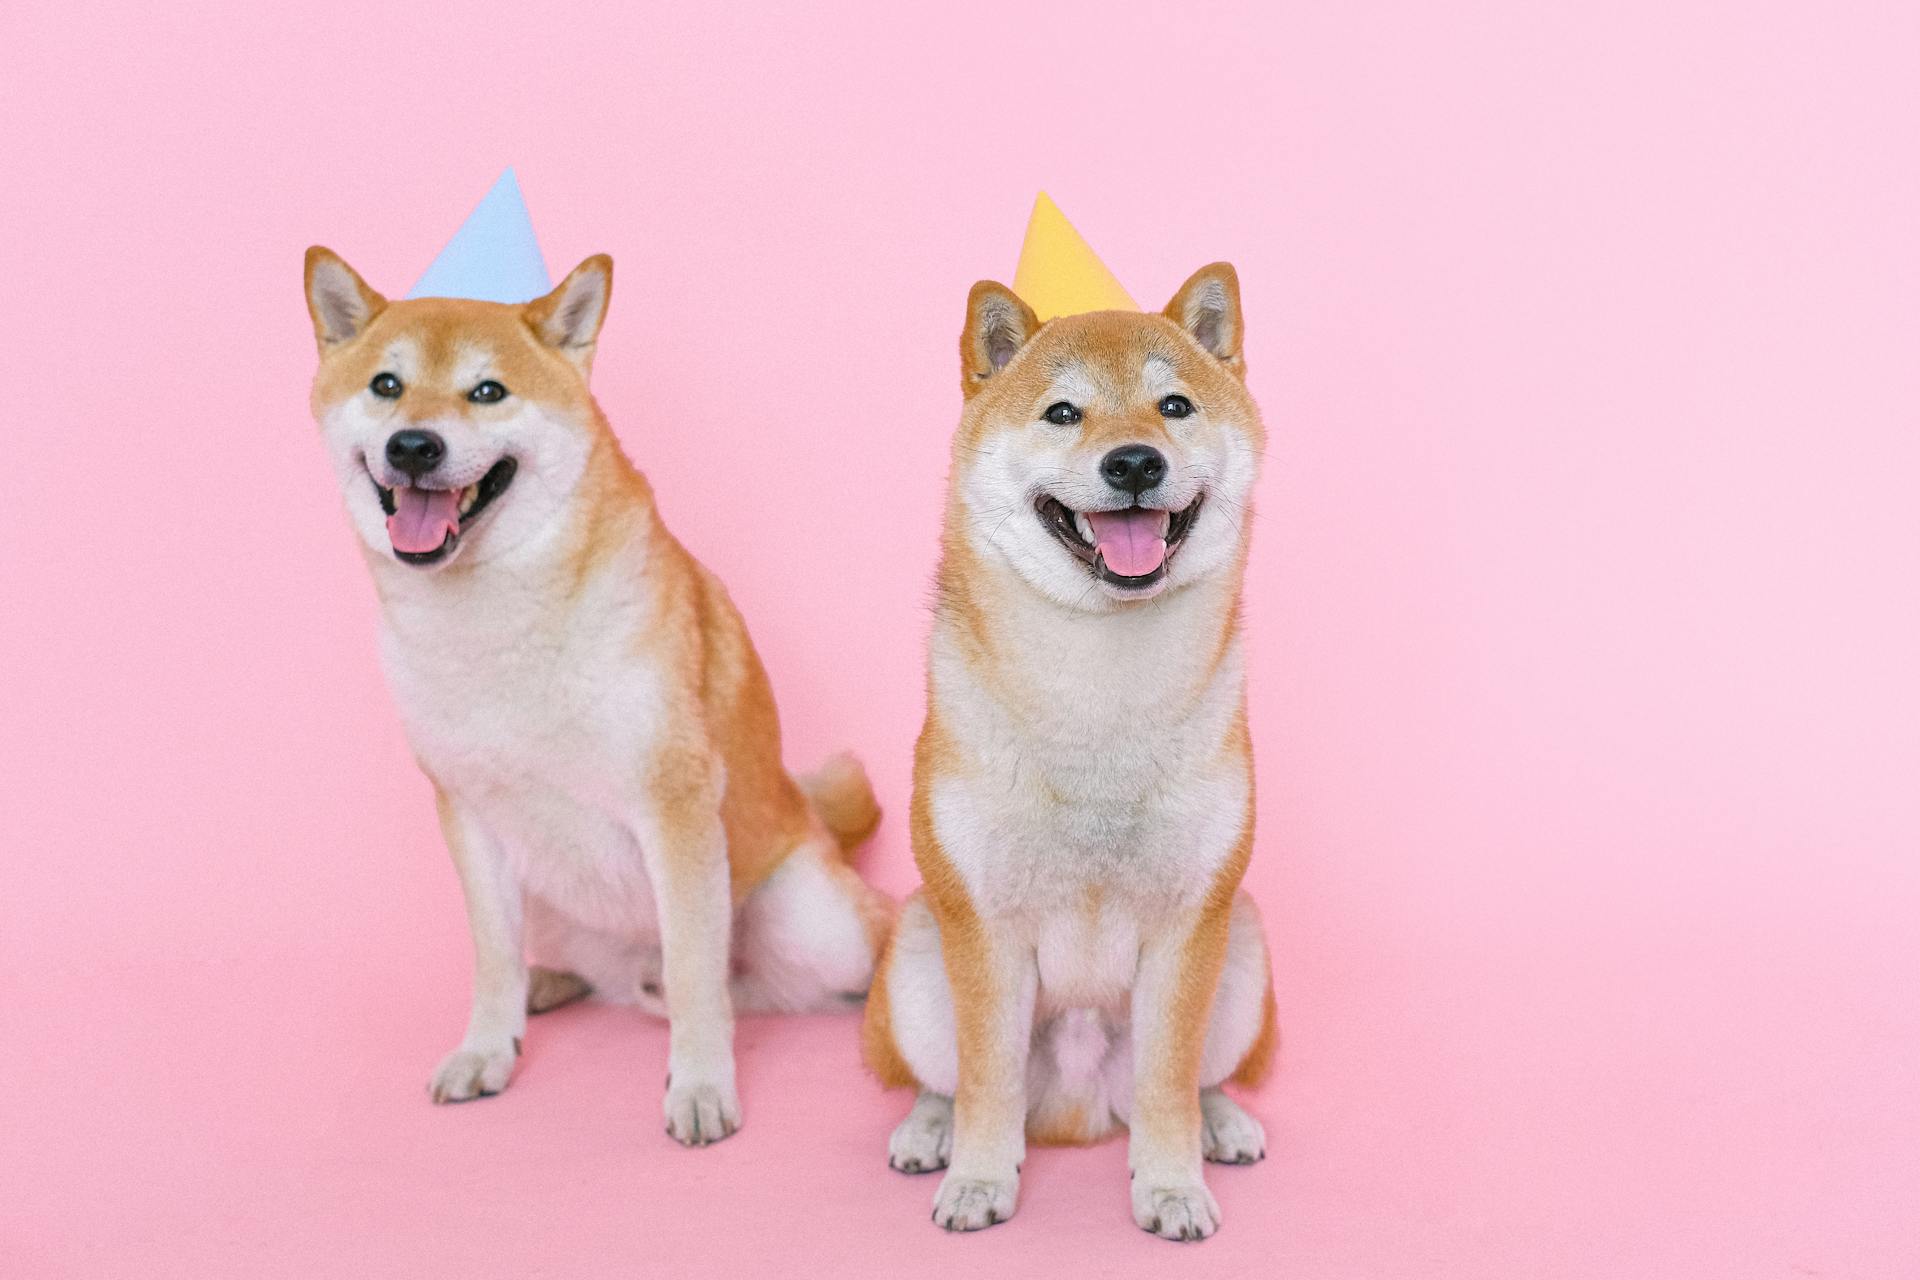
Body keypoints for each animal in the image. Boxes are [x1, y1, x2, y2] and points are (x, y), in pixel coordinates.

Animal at [303, 245, 894, 1143]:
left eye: (486, 392)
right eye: (386, 385)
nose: (413, 447)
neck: (495, 622)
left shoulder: (673, 806)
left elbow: (695, 970)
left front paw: (700, 1085)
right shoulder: (468, 814)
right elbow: (491, 957)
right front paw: (488, 1047)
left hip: (811, 918)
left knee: (771, 981)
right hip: (548, 891)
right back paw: (553, 987)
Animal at [867, 197, 1274, 1243]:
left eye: (1174, 407)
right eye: (1063, 413)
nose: (1133, 462)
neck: (1102, 694)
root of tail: (1080, 1107)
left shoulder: (1191, 927)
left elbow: (1168, 1086)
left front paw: (1171, 1185)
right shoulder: (981, 930)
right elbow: (986, 1082)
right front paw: (976, 1176)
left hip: (1245, 954)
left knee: (1193, 1081)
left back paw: (1224, 1123)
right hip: (917, 956)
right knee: (945, 1080)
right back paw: (927, 1131)